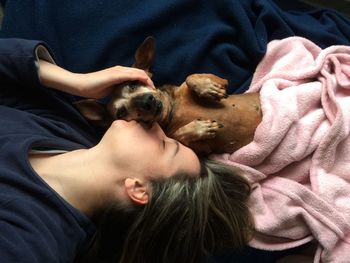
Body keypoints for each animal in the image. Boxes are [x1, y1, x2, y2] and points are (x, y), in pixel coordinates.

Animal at [76, 38, 262, 156]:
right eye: (121, 113)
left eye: (133, 83)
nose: (146, 102)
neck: (172, 110)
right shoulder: (199, 150)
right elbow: (179, 135)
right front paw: (199, 128)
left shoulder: (219, 79)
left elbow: (190, 76)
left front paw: (209, 88)